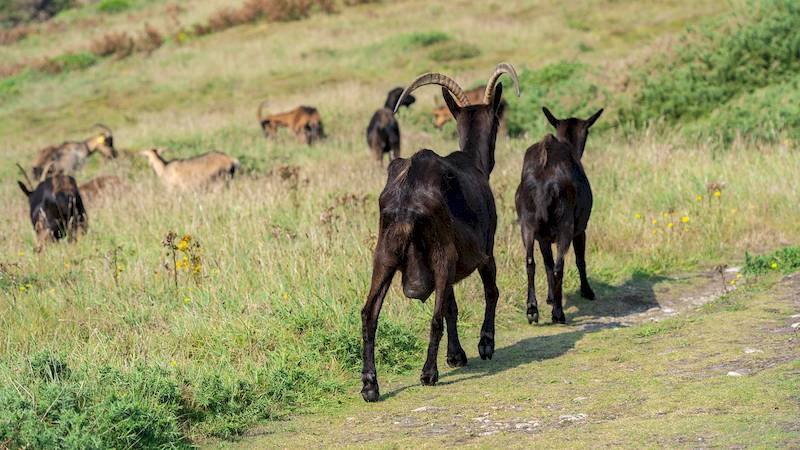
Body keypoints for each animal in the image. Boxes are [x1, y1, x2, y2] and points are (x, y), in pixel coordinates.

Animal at [360, 62, 520, 400]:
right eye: (497, 122)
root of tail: (407, 194)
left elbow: (451, 306)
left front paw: (456, 355)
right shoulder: (485, 251)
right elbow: (489, 292)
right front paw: (484, 345)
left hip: (385, 253)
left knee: (369, 313)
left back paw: (369, 385)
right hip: (441, 253)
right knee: (434, 316)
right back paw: (428, 373)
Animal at [516, 106, 604, 324]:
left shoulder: (543, 237)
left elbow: (546, 264)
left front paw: (549, 297)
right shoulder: (580, 228)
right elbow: (580, 260)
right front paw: (587, 291)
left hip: (527, 224)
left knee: (531, 262)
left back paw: (532, 310)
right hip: (566, 225)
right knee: (559, 266)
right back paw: (558, 313)